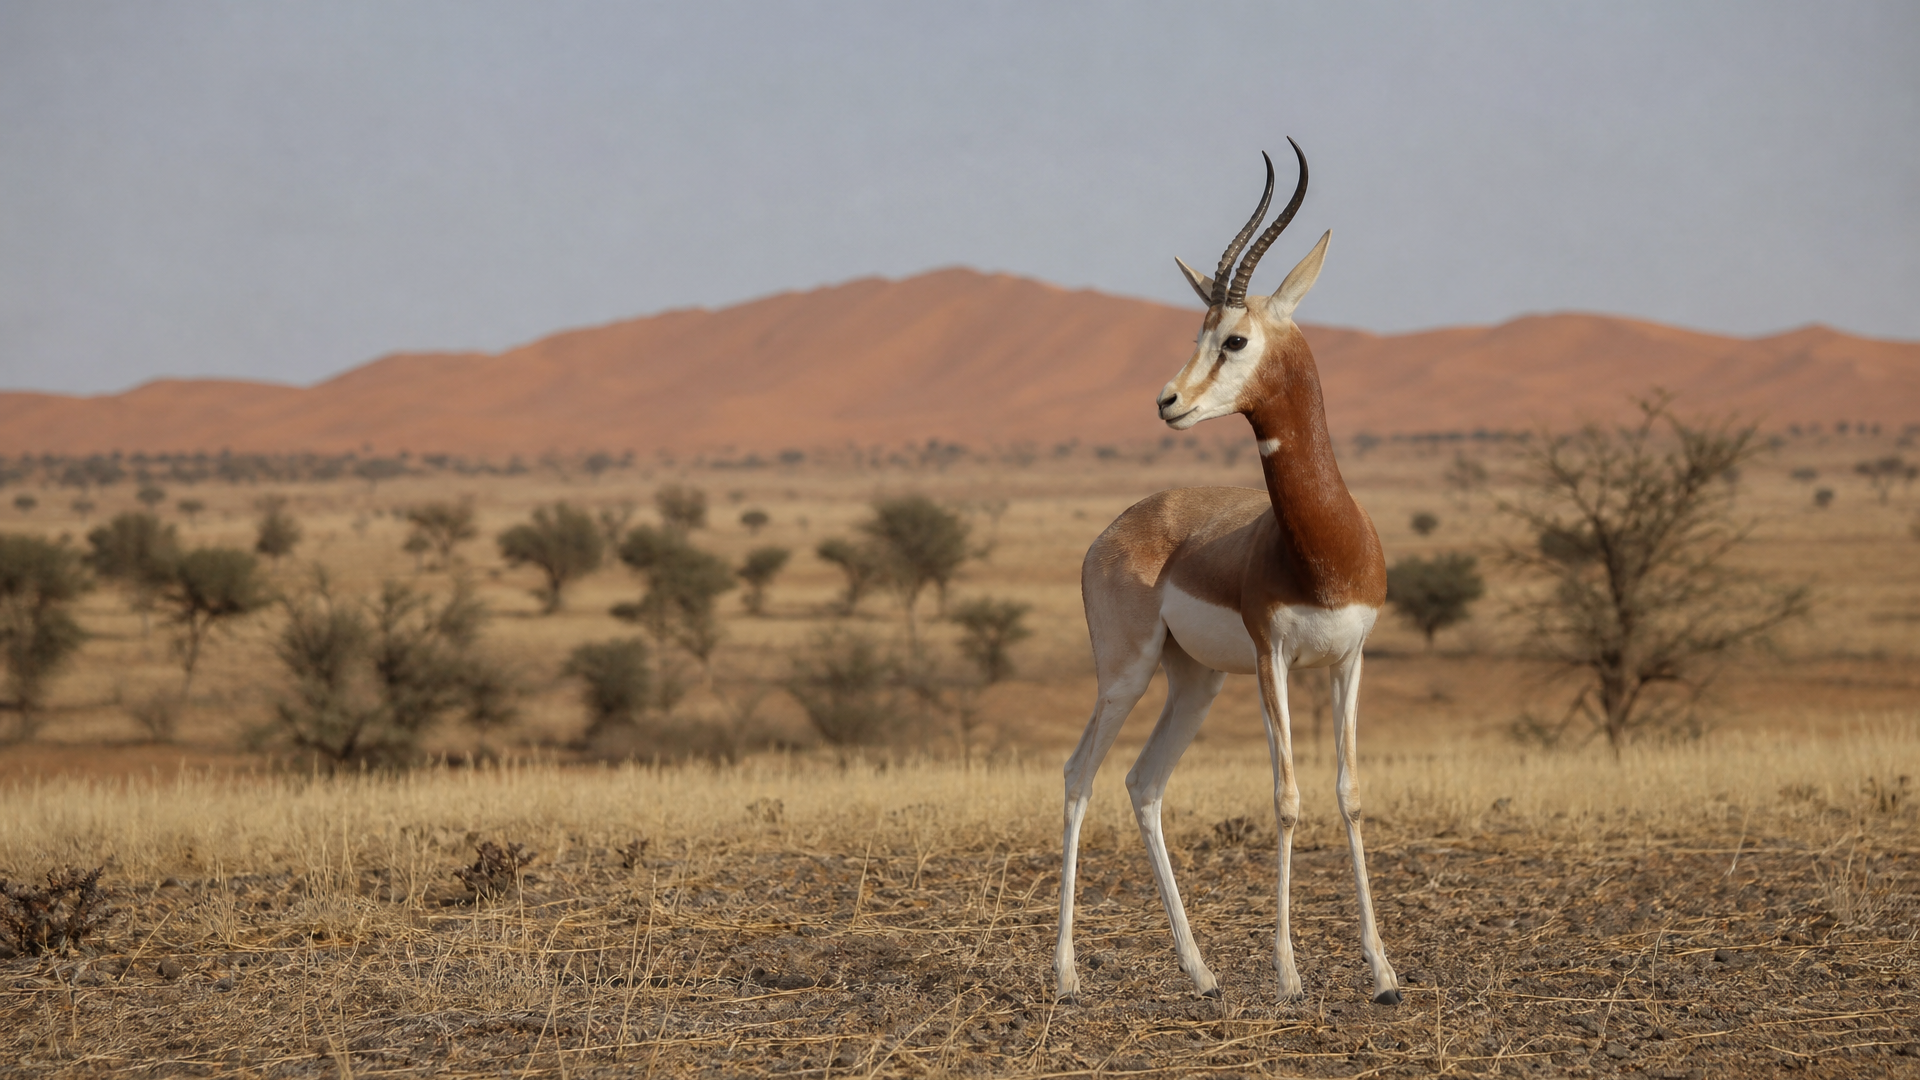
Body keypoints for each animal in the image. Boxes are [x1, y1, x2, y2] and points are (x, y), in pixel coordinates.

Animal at [1053, 141, 1402, 1006]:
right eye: (1199, 329)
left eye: (1235, 340)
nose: (1168, 400)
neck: (1320, 551)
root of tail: (1117, 526)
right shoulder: (1272, 658)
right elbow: (1286, 799)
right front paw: (1288, 973)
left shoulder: (1349, 659)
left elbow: (1349, 796)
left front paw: (1383, 972)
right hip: (1127, 673)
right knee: (1079, 774)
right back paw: (1066, 975)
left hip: (1195, 682)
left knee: (1143, 783)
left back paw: (1201, 971)